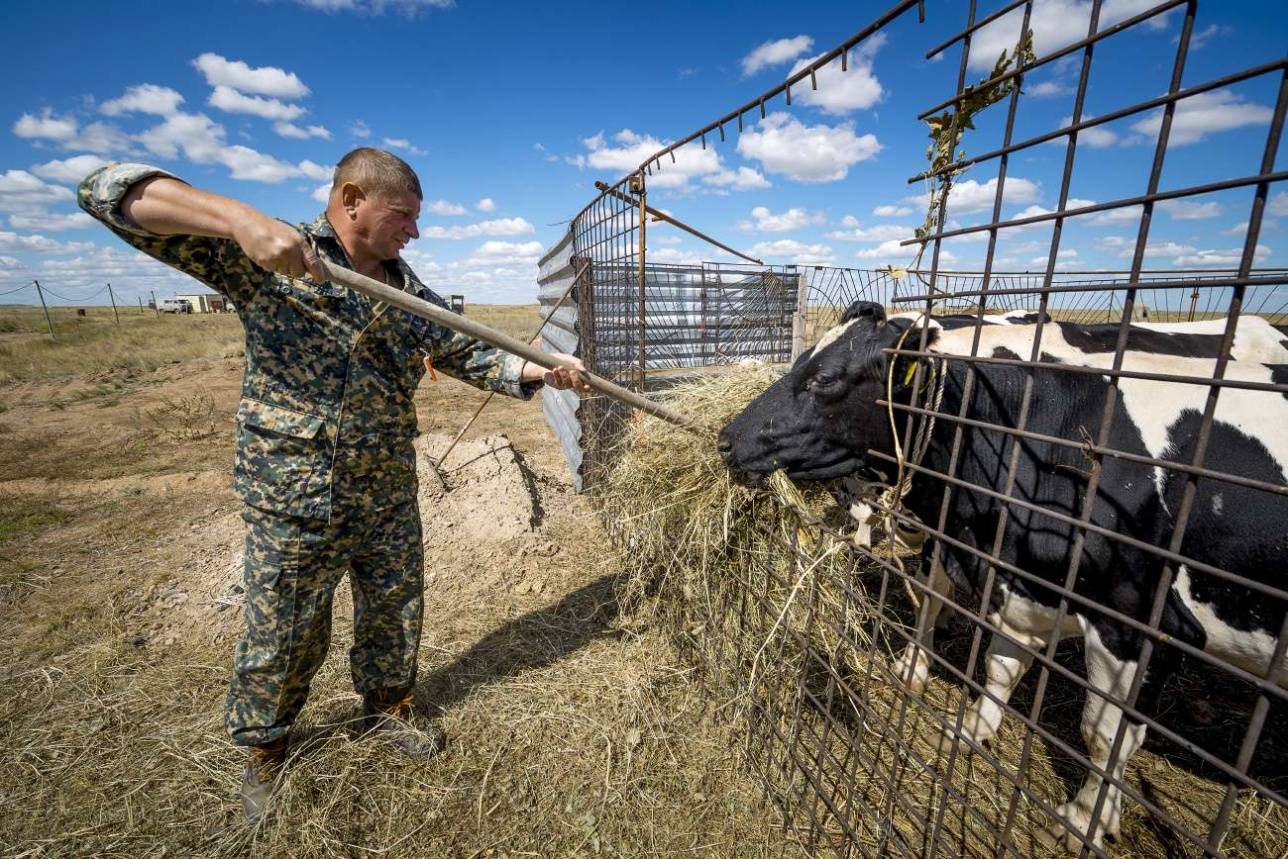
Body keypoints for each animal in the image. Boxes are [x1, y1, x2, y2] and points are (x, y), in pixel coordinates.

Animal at [716, 302, 1288, 855]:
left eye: (825, 379)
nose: (726, 438)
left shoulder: (1139, 625)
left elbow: (1104, 736)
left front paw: (1083, 820)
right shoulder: (1004, 570)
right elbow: (994, 659)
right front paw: (965, 720)